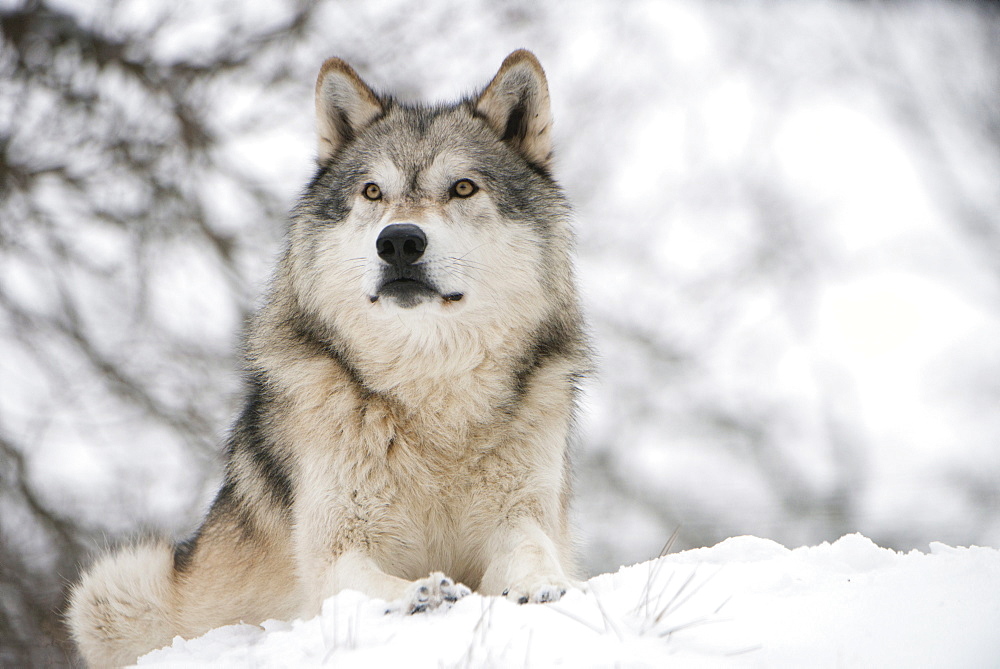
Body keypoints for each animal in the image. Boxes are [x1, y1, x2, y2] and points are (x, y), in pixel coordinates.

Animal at [66, 49, 588, 664]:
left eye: (463, 188)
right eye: (372, 192)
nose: (400, 241)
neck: (429, 396)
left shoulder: (520, 517)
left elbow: (533, 551)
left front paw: (541, 585)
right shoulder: (336, 548)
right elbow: (363, 582)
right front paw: (420, 593)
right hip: (113, 587)